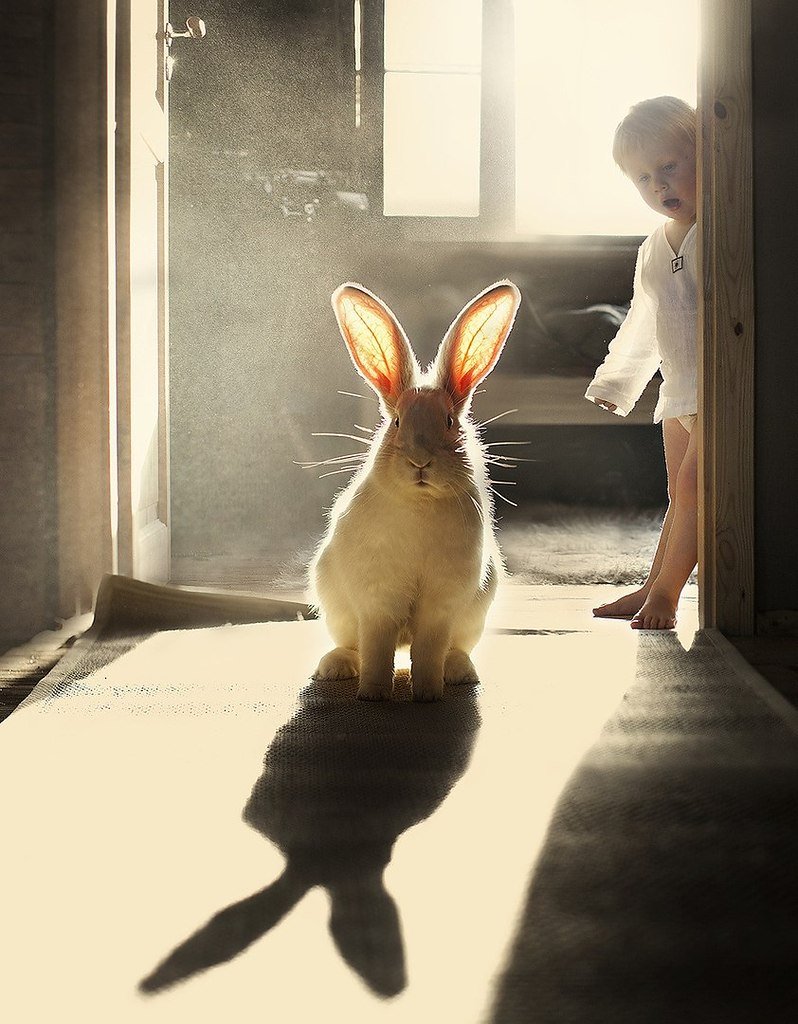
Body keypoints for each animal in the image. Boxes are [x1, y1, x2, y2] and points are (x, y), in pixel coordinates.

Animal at [310, 280, 522, 702]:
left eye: (450, 421)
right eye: (395, 423)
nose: (420, 461)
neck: (420, 504)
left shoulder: (442, 605)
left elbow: (429, 650)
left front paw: (427, 695)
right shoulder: (378, 600)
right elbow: (377, 649)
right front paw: (373, 695)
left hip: (475, 614)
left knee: (453, 648)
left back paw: (459, 673)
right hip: (336, 606)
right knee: (352, 645)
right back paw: (335, 668)